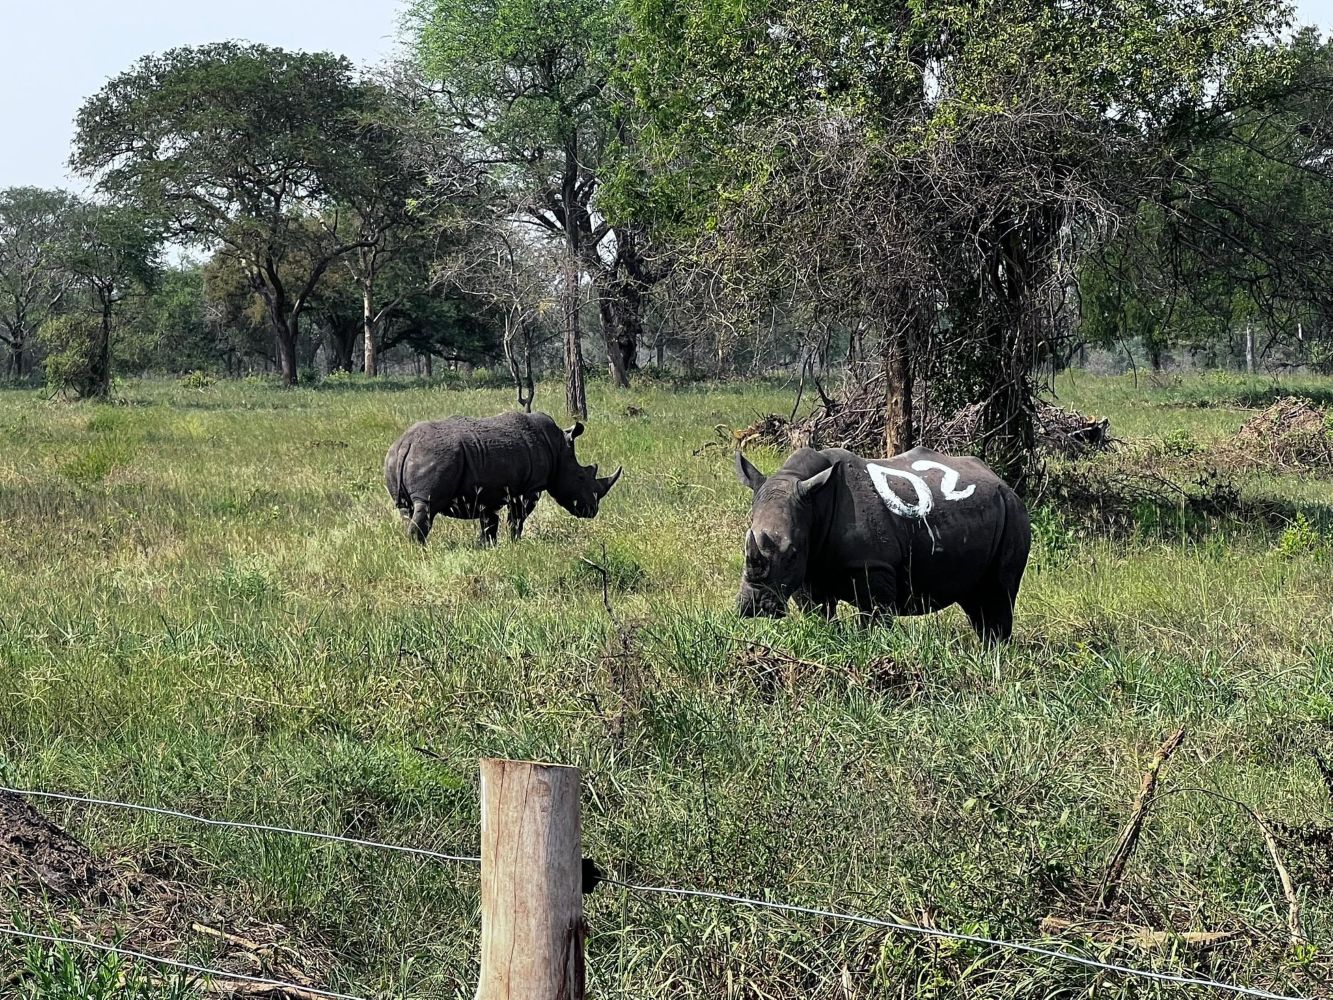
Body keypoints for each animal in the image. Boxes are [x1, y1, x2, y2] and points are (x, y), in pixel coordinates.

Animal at [385, 411, 622, 546]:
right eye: (582, 477)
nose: (592, 511)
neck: (559, 451)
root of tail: (406, 444)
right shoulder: (530, 488)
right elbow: (517, 518)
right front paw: (515, 543)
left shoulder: (487, 490)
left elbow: (489, 522)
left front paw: (486, 546)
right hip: (433, 455)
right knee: (426, 505)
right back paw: (421, 551)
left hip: (394, 457)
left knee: (406, 509)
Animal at [735, 445, 1030, 642]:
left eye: (792, 553)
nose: (754, 608)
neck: (813, 500)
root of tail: (1002, 482)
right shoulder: (810, 566)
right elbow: (818, 612)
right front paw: (828, 638)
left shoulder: (872, 565)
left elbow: (874, 617)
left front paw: (870, 647)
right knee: (974, 597)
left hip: (1014, 511)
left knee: (999, 592)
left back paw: (995, 653)